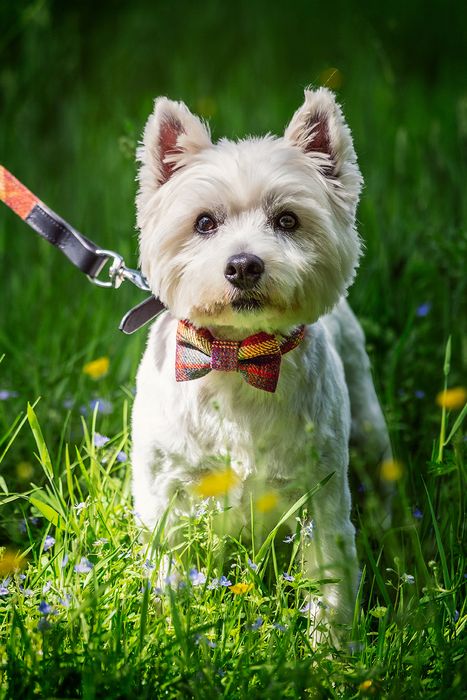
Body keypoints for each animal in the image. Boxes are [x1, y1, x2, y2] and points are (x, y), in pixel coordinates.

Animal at [132, 89, 392, 640]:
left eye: (288, 220)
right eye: (204, 222)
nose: (244, 265)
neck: (236, 359)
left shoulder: (320, 495)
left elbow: (330, 578)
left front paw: (330, 648)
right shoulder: (166, 492)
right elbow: (168, 568)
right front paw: (174, 631)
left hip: (368, 427)